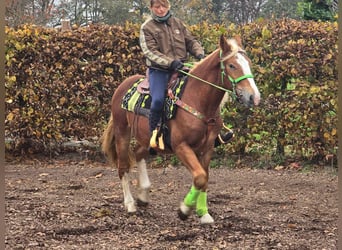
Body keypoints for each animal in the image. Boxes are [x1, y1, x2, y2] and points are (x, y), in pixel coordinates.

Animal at [100, 34, 260, 224]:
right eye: (232, 65)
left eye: (248, 63)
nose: (254, 97)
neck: (196, 99)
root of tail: (122, 86)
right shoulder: (181, 146)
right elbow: (200, 177)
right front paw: (184, 209)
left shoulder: (207, 148)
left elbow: (204, 178)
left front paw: (203, 212)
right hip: (122, 132)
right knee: (123, 167)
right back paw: (130, 204)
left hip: (146, 138)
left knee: (138, 153)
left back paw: (143, 195)